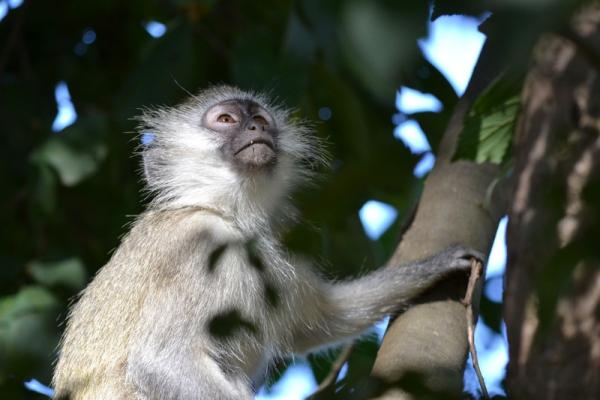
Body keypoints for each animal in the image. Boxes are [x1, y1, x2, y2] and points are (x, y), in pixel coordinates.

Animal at [52, 85, 482, 400]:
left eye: (259, 120)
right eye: (226, 120)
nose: (256, 130)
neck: (230, 217)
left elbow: (320, 320)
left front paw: (440, 264)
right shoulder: (196, 245)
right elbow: (161, 361)